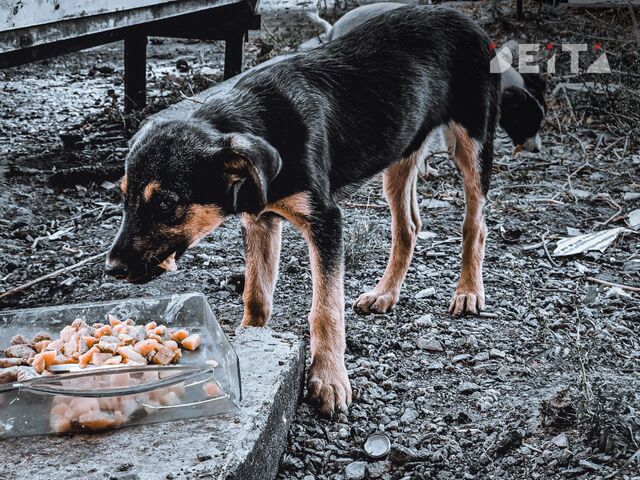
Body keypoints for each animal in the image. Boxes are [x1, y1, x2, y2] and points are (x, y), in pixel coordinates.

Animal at [107, 5, 502, 414]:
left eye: (166, 203)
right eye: (123, 197)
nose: (112, 269)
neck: (264, 125)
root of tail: (461, 17)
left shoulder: (325, 220)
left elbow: (325, 309)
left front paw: (328, 379)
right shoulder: (260, 220)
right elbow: (256, 293)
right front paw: (251, 338)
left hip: (473, 142)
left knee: (475, 223)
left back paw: (469, 291)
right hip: (400, 151)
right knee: (407, 226)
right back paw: (385, 293)